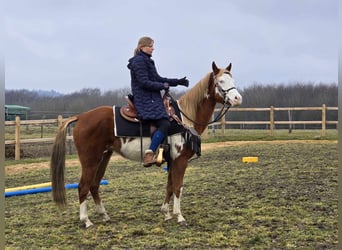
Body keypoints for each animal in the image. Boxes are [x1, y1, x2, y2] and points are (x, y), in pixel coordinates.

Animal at [50, 61, 243, 228]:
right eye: (221, 81)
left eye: (233, 79)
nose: (237, 98)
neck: (183, 118)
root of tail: (81, 117)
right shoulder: (180, 160)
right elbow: (178, 187)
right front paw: (179, 216)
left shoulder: (172, 161)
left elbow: (169, 186)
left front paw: (166, 213)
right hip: (90, 160)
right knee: (83, 186)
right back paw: (86, 220)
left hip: (103, 157)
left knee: (94, 185)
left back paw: (104, 215)